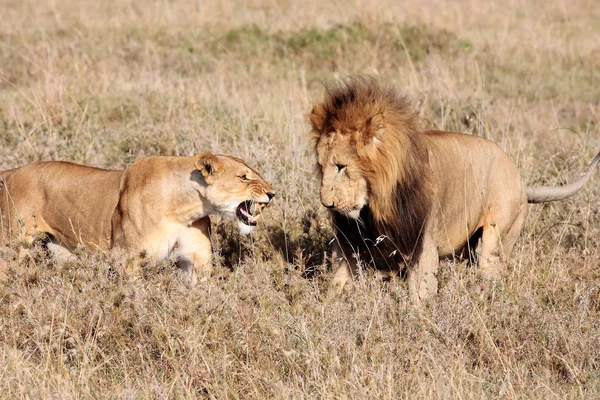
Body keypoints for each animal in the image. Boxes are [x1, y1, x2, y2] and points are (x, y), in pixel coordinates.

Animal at [0, 152, 274, 282]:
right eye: (243, 177)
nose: (272, 193)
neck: (183, 208)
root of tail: (14, 171)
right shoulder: (127, 260)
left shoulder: (197, 261)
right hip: (14, 246)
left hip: (62, 251)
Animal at [310, 78, 600, 304]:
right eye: (322, 167)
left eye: (341, 166)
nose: (326, 204)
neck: (376, 204)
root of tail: (520, 181)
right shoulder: (352, 242)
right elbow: (339, 281)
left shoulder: (422, 243)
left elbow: (420, 293)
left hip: (495, 238)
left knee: (491, 271)